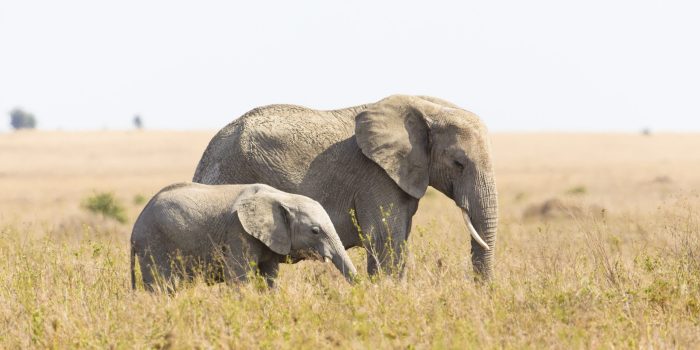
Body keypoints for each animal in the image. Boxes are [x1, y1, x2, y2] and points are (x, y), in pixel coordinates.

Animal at [129, 182, 358, 292]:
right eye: (315, 231)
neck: (282, 196)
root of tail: (134, 227)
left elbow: (270, 276)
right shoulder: (238, 231)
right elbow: (238, 277)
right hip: (153, 243)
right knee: (161, 286)